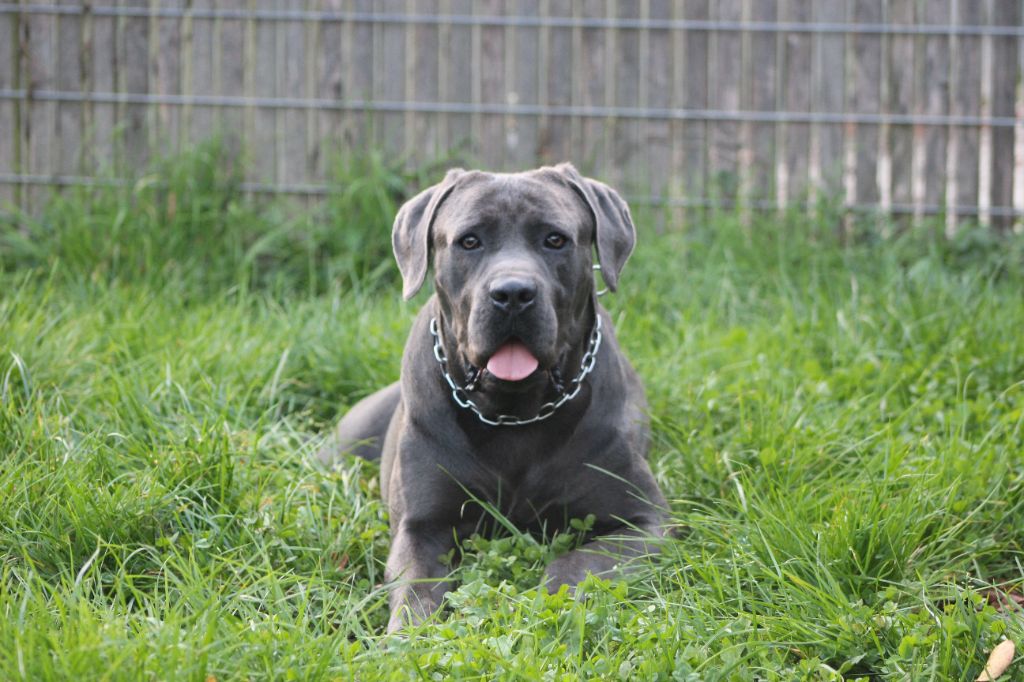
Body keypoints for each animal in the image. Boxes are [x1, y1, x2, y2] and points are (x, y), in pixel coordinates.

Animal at [318, 163, 667, 633]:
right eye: (469, 241)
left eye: (555, 239)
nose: (513, 293)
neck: (514, 413)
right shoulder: (420, 527)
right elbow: (415, 593)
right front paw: (405, 638)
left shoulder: (646, 521)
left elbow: (574, 564)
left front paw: (547, 609)